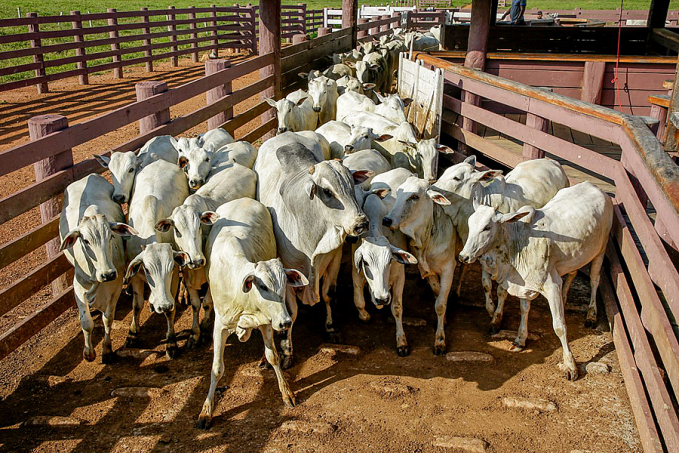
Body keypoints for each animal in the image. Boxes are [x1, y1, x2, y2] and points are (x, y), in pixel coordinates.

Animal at [60, 175, 138, 362]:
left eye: (111, 236)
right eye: (85, 241)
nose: (107, 274)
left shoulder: (115, 285)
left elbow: (108, 319)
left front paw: (107, 349)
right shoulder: (78, 287)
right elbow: (86, 323)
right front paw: (88, 353)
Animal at [123, 159, 189, 356]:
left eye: (170, 268)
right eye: (147, 269)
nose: (162, 305)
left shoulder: (174, 275)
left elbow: (170, 312)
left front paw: (171, 342)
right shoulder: (136, 275)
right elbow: (136, 305)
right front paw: (132, 334)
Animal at [460, 182, 612, 380]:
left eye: (487, 227)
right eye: (470, 223)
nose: (463, 256)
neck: (519, 242)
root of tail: (594, 186)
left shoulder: (551, 285)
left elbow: (559, 326)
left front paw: (571, 366)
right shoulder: (525, 283)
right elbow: (524, 310)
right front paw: (520, 339)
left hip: (601, 250)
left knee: (594, 280)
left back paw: (591, 315)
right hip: (576, 255)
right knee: (572, 273)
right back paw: (565, 298)